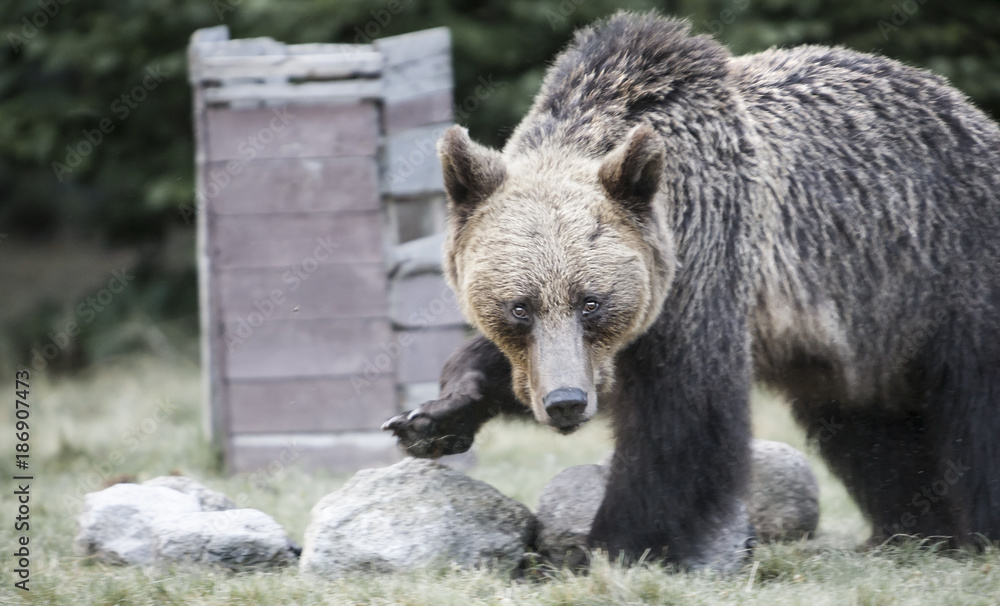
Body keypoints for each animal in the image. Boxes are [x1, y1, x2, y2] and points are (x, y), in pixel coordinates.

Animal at [384, 11, 1000, 569]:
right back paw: (914, 531)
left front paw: (609, 546)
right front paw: (434, 417)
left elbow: (683, 423)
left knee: (973, 409)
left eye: (591, 301)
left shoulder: (706, 271)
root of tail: (975, 115)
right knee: (869, 427)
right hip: (868, 321)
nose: (566, 402)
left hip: (949, 270)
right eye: (518, 308)